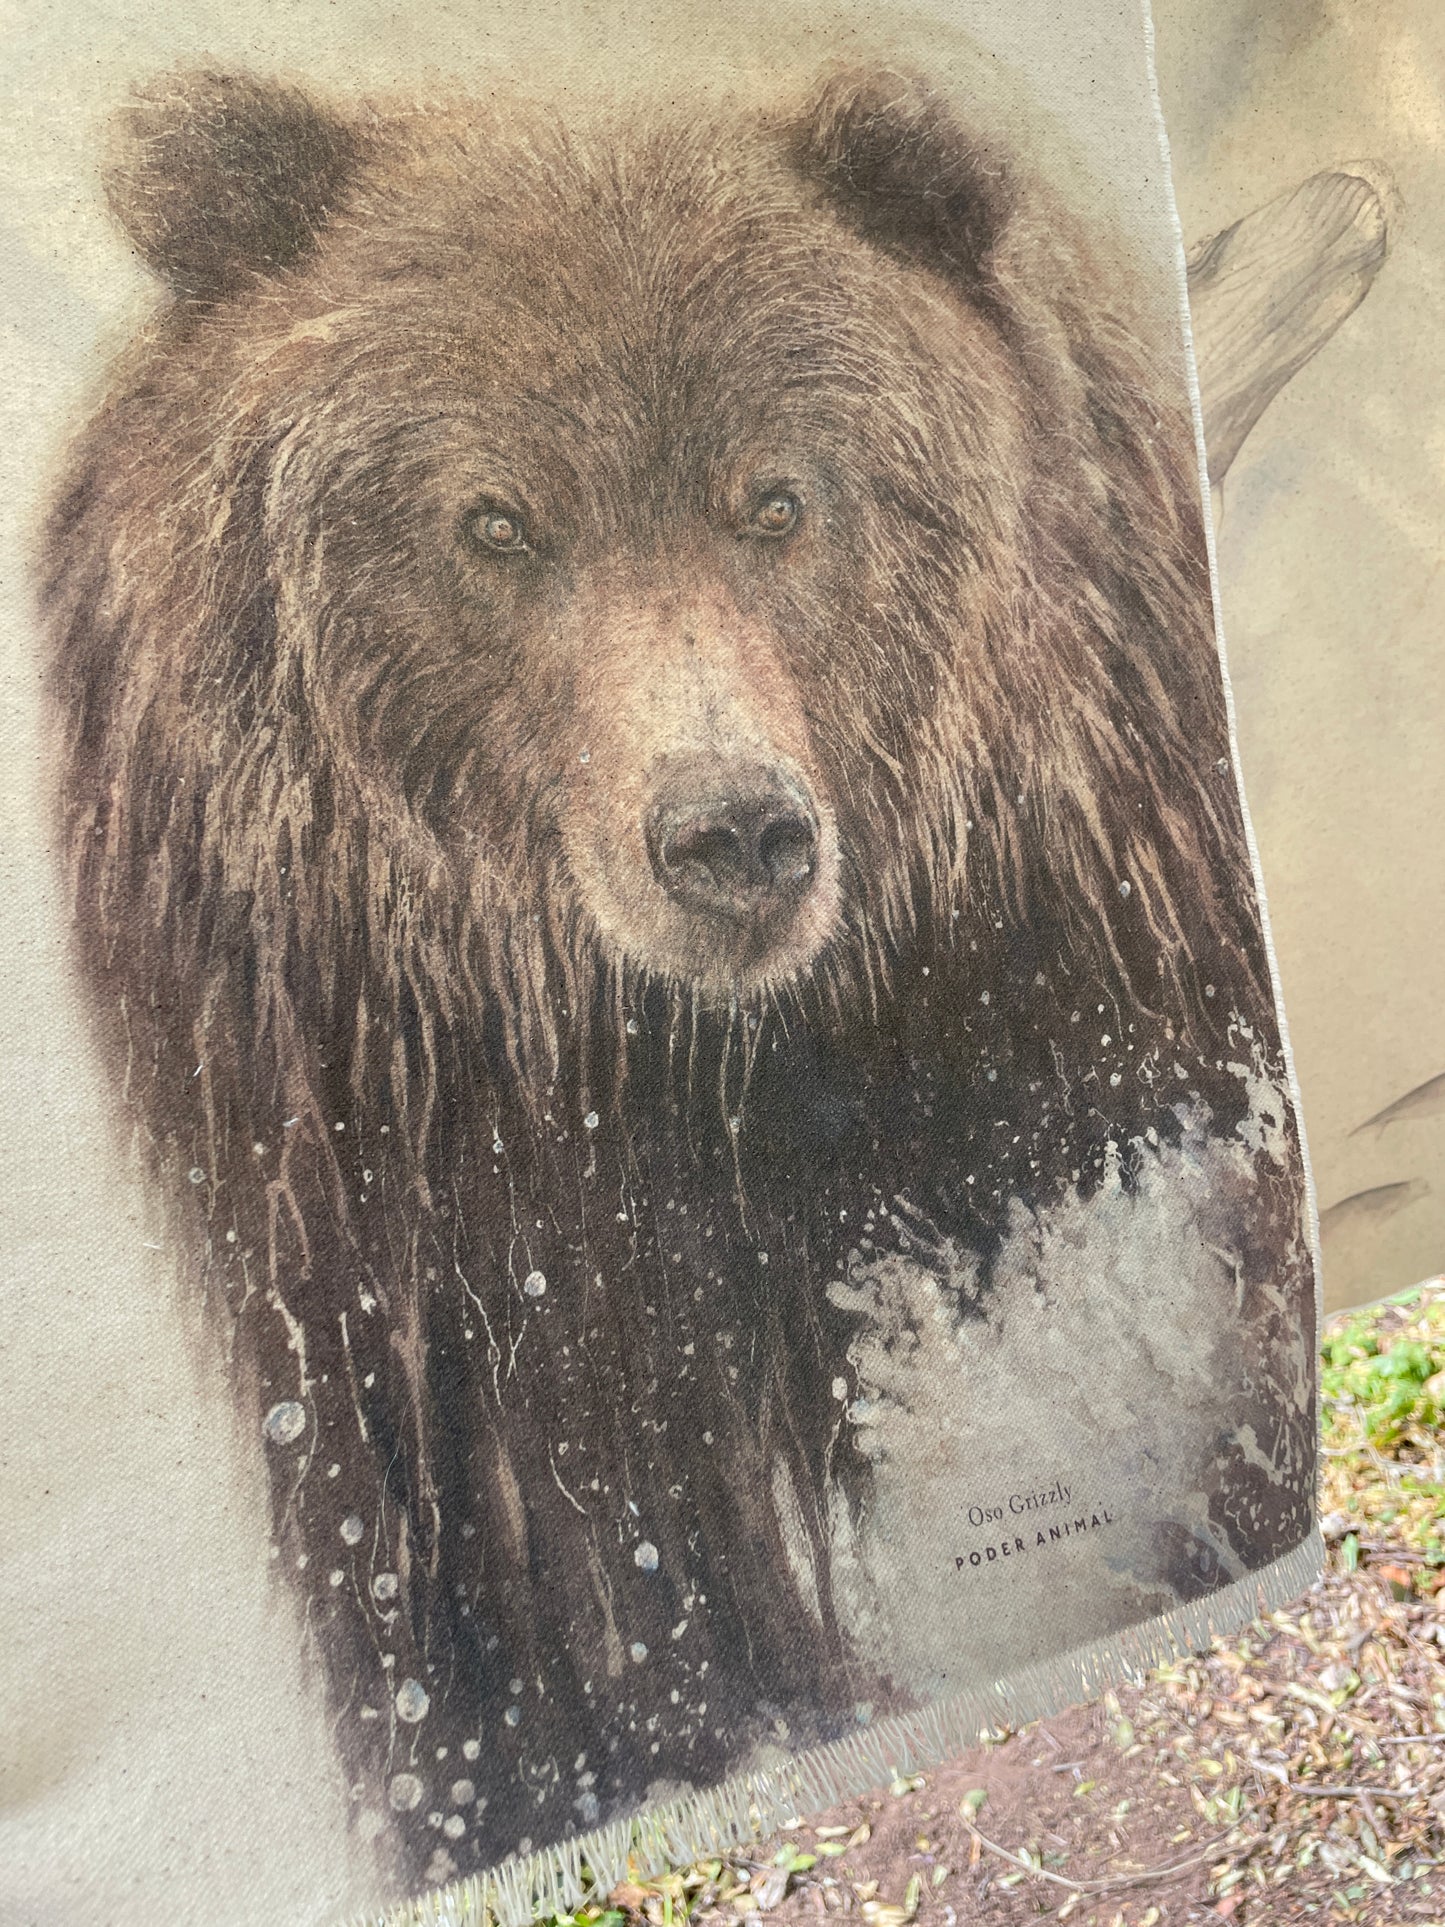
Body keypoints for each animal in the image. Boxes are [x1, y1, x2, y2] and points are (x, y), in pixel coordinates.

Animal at [41, 63, 1314, 1891]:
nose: (733, 831)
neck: (702, 1063)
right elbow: (560, 1582)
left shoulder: (1074, 946)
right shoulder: (403, 1207)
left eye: (776, 494)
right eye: (495, 517)